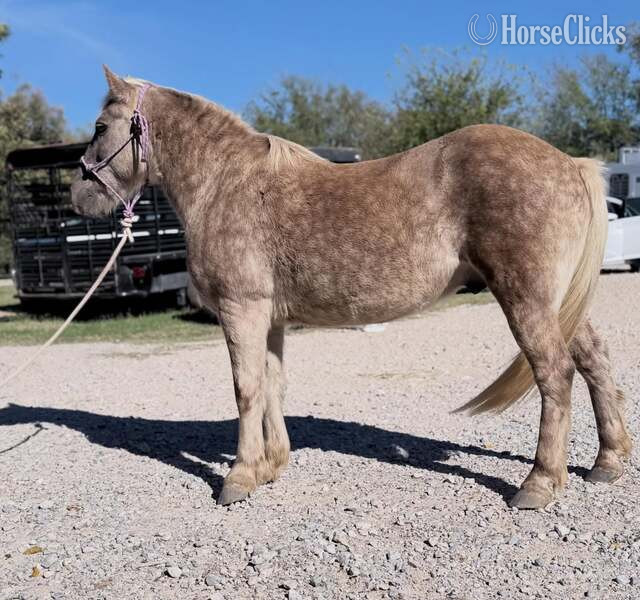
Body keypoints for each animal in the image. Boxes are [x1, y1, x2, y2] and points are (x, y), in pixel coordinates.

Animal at [71, 66, 631, 509]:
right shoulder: (270, 319)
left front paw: (238, 478)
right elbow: (272, 385)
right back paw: (607, 462)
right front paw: (271, 466)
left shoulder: (241, 310)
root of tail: (571, 164)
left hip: (526, 298)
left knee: (555, 374)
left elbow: (245, 389)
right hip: (558, 303)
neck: (224, 185)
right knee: (594, 359)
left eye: (100, 127)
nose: (79, 196)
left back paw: (538, 484)